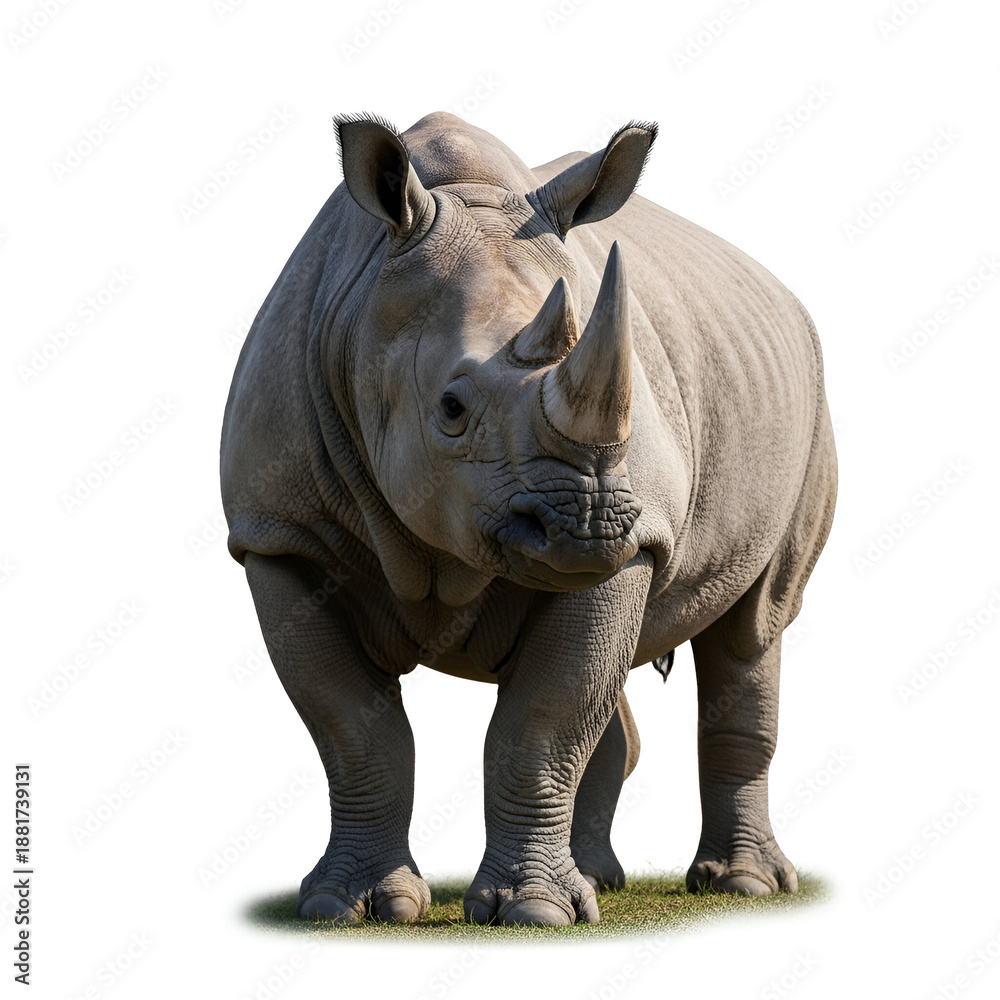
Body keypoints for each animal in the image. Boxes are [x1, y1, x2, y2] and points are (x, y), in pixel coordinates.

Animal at [220, 111, 837, 926]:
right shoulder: (280, 537)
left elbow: (544, 720)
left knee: (754, 625)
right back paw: (604, 879)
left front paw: (533, 913)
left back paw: (743, 885)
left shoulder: (638, 542)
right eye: (451, 408)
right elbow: (353, 729)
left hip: (808, 403)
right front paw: (349, 905)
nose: (591, 526)